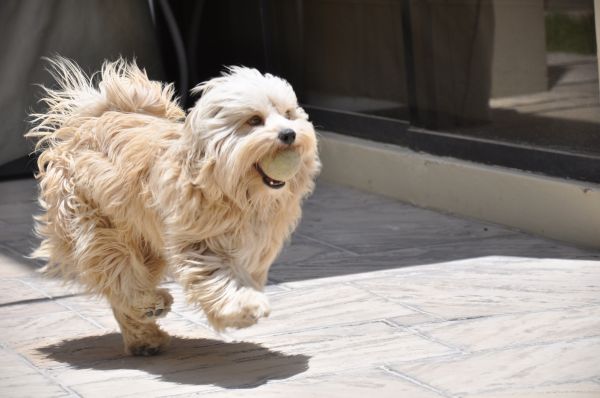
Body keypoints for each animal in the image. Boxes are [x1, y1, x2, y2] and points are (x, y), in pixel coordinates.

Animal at [25, 58, 322, 354]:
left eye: (288, 114)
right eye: (254, 120)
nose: (289, 134)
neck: (232, 189)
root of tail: (91, 120)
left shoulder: (253, 247)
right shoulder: (200, 243)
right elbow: (217, 275)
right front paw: (242, 306)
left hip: (145, 245)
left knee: (122, 286)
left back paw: (144, 337)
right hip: (96, 223)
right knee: (120, 271)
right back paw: (149, 304)